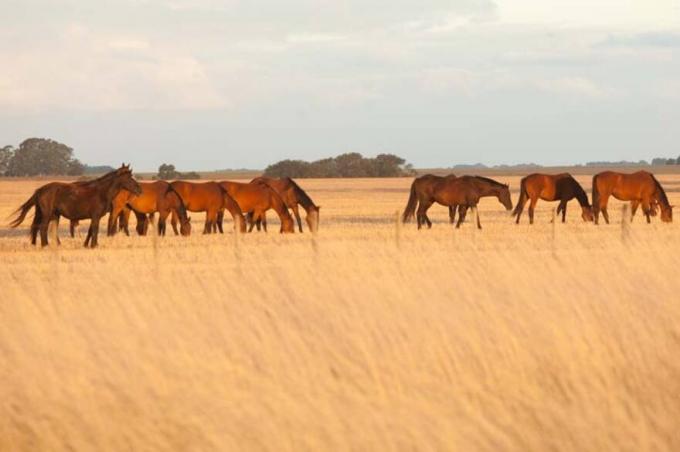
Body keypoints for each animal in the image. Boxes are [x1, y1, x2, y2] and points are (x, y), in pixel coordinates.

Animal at [9, 164, 140, 247]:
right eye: (129, 177)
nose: (139, 189)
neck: (101, 191)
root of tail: (40, 190)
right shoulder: (96, 216)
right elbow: (95, 230)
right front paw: (94, 245)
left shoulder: (94, 217)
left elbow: (90, 231)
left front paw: (88, 245)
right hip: (47, 214)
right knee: (43, 228)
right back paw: (45, 245)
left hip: (54, 215)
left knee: (47, 229)